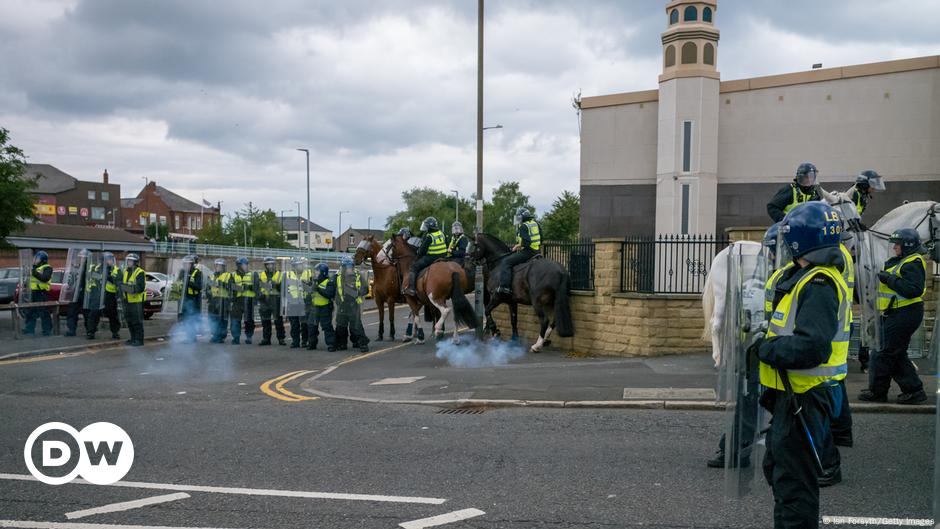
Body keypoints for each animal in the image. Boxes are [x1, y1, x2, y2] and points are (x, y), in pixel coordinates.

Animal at [700, 198, 936, 368]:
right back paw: (719, 358)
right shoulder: (870, 296)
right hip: (722, 295)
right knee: (717, 323)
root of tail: (722, 252)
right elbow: (869, 326)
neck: (879, 247)